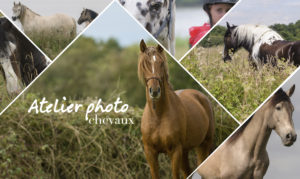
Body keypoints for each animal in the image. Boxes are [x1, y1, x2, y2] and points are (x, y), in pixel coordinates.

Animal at [137, 39, 214, 178]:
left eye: (161, 63)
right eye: (144, 64)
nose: (154, 91)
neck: (158, 116)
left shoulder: (175, 151)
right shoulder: (150, 153)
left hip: (204, 145)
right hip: (186, 151)